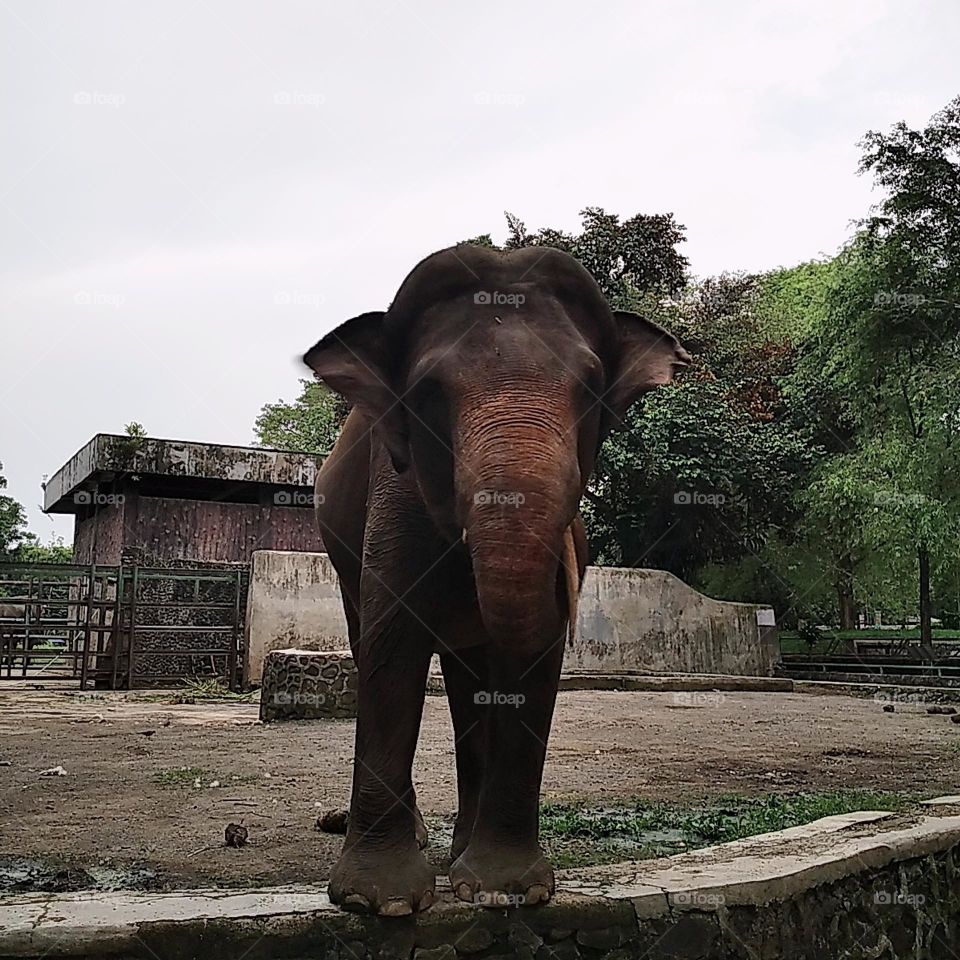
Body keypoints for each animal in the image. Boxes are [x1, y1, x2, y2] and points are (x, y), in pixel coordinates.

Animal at [305, 244, 689, 916]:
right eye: (427, 392)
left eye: (591, 388)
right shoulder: (395, 492)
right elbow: (392, 643)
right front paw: (382, 903)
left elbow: (528, 664)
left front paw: (506, 891)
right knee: (371, 641)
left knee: (468, 680)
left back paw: (462, 852)